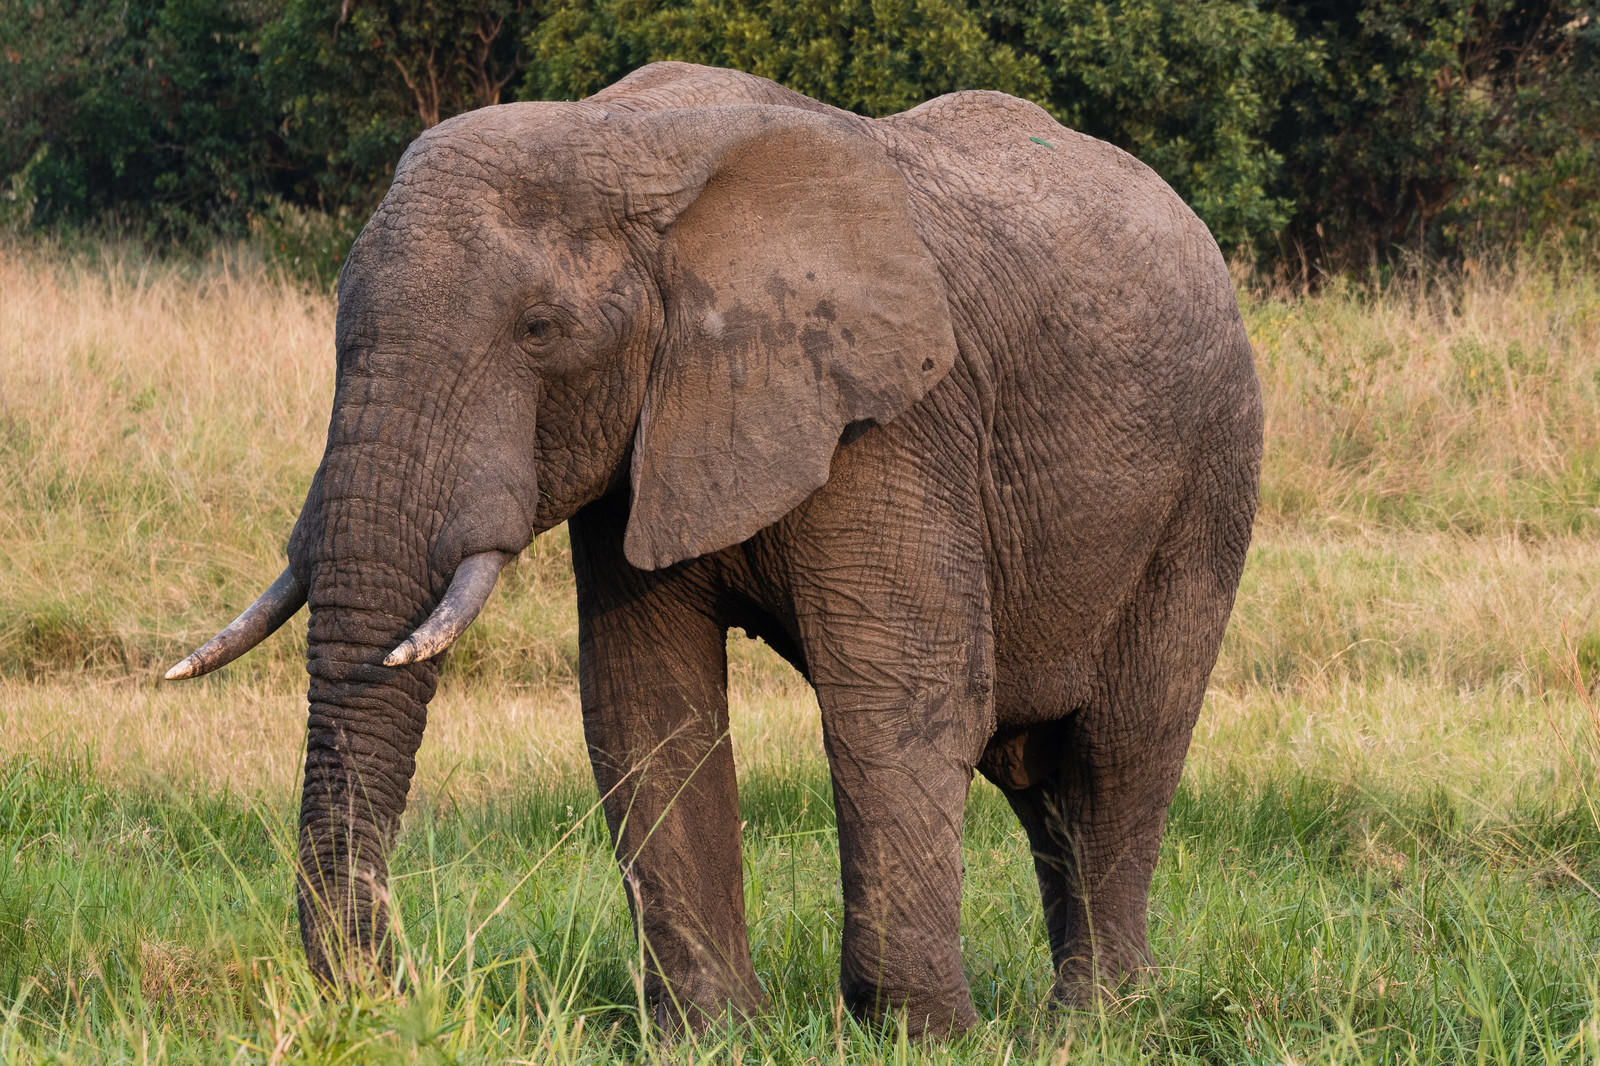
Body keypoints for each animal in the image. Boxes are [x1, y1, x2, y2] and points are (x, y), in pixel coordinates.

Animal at [168, 61, 1261, 1037]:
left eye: (540, 329)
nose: (398, 992)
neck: (626, 138)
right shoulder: (647, 437)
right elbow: (647, 705)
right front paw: (715, 1035)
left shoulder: (902, 416)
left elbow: (898, 697)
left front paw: (925, 1036)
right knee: (1040, 776)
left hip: (1209, 472)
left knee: (1121, 747)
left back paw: (1096, 1023)